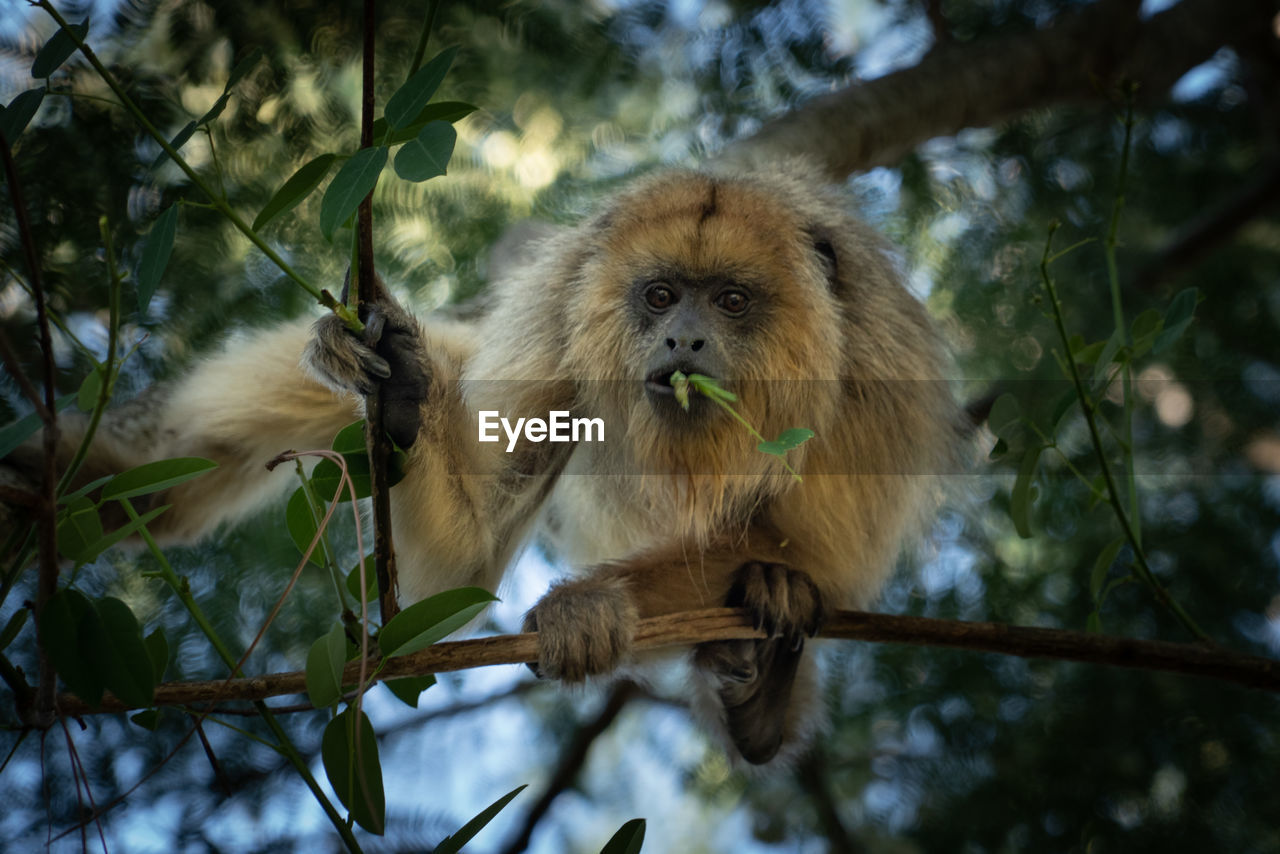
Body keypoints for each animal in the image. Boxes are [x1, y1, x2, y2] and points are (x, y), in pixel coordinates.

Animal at [2, 156, 962, 763]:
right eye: (659, 296)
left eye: (730, 301)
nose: (684, 339)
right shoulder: (553, 329)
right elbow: (457, 571)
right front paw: (400, 396)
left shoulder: (872, 379)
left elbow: (827, 552)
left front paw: (593, 608)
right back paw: (93, 485)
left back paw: (762, 680)